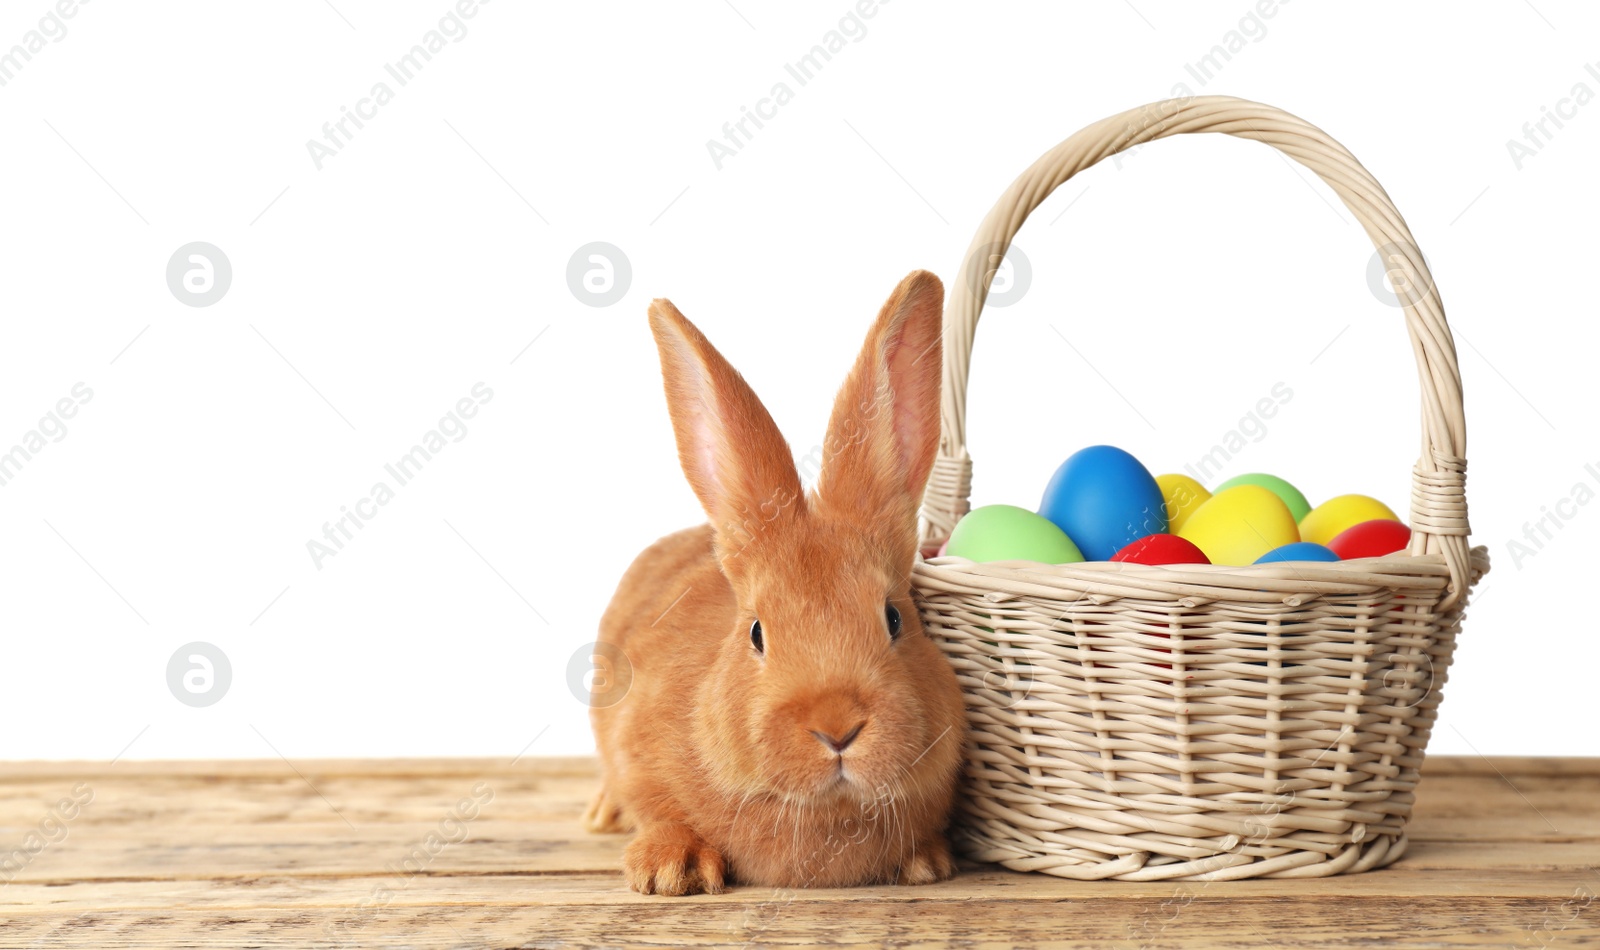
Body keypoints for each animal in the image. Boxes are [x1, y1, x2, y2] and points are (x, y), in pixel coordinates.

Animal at [585, 270, 960, 889]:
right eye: (756, 633)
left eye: (894, 618)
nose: (837, 727)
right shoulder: (636, 751)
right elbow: (658, 809)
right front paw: (671, 870)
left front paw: (926, 862)